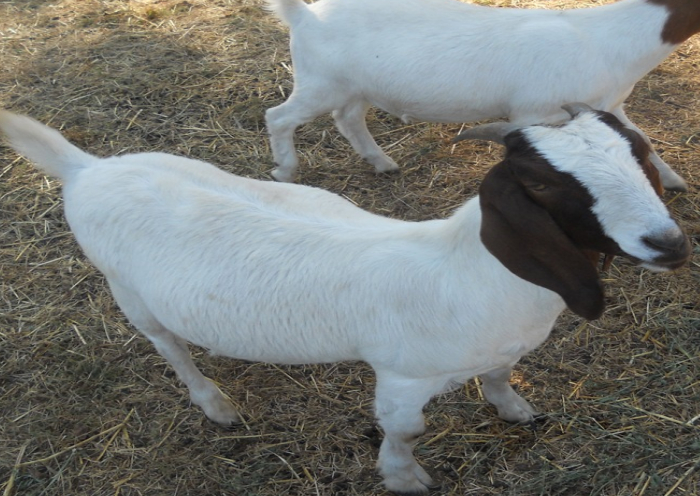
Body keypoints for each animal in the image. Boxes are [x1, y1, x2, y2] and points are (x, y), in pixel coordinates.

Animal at [0, 105, 690, 494]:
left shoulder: (500, 349)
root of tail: (88, 170)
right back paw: (215, 405)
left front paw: (516, 410)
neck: (470, 270)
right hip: (130, 295)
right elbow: (405, 429)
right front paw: (405, 479)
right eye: (543, 185)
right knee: (169, 348)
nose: (669, 242)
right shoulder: (403, 376)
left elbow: (499, 377)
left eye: (639, 152)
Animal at [265, 0, 695, 191]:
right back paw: (284, 171)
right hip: (320, 82)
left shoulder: (610, 105)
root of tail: (304, 14)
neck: (607, 40)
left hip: (353, 86)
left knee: (348, 119)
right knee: (279, 117)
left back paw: (382, 163)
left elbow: (641, 138)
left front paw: (672, 180)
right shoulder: (532, 113)